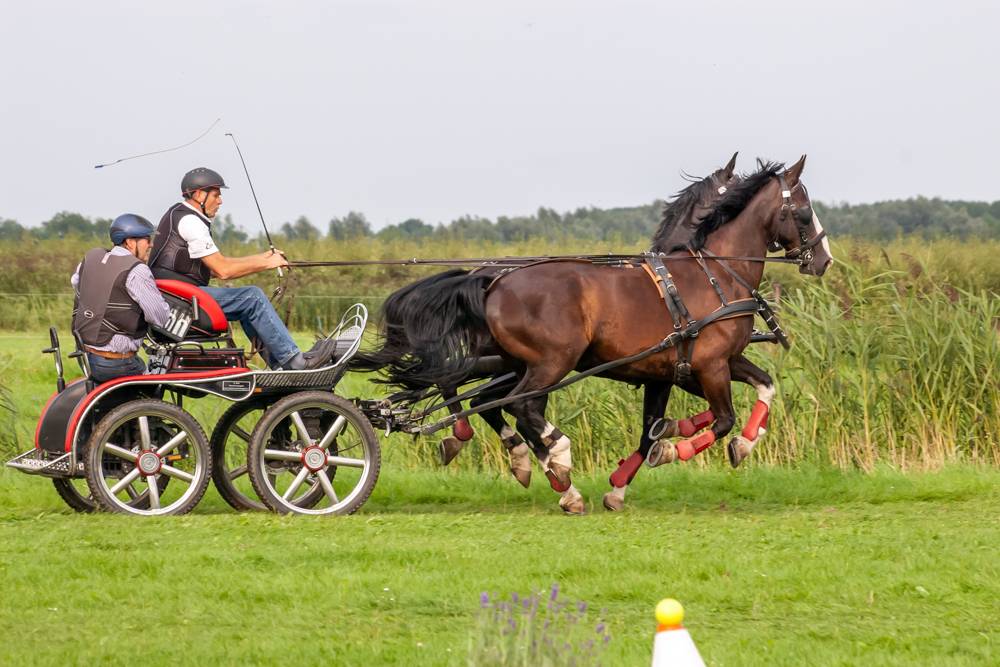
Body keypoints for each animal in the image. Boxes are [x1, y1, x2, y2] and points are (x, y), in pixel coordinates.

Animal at [360, 156, 832, 513]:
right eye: (804, 209)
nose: (824, 258)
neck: (713, 274)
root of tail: (493, 281)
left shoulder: (683, 370)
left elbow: (756, 390)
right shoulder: (709, 366)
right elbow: (720, 420)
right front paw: (677, 449)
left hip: (517, 364)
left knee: (491, 401)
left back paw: (539, 468)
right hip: (550, 362)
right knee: (512, 405)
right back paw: (555, 462)